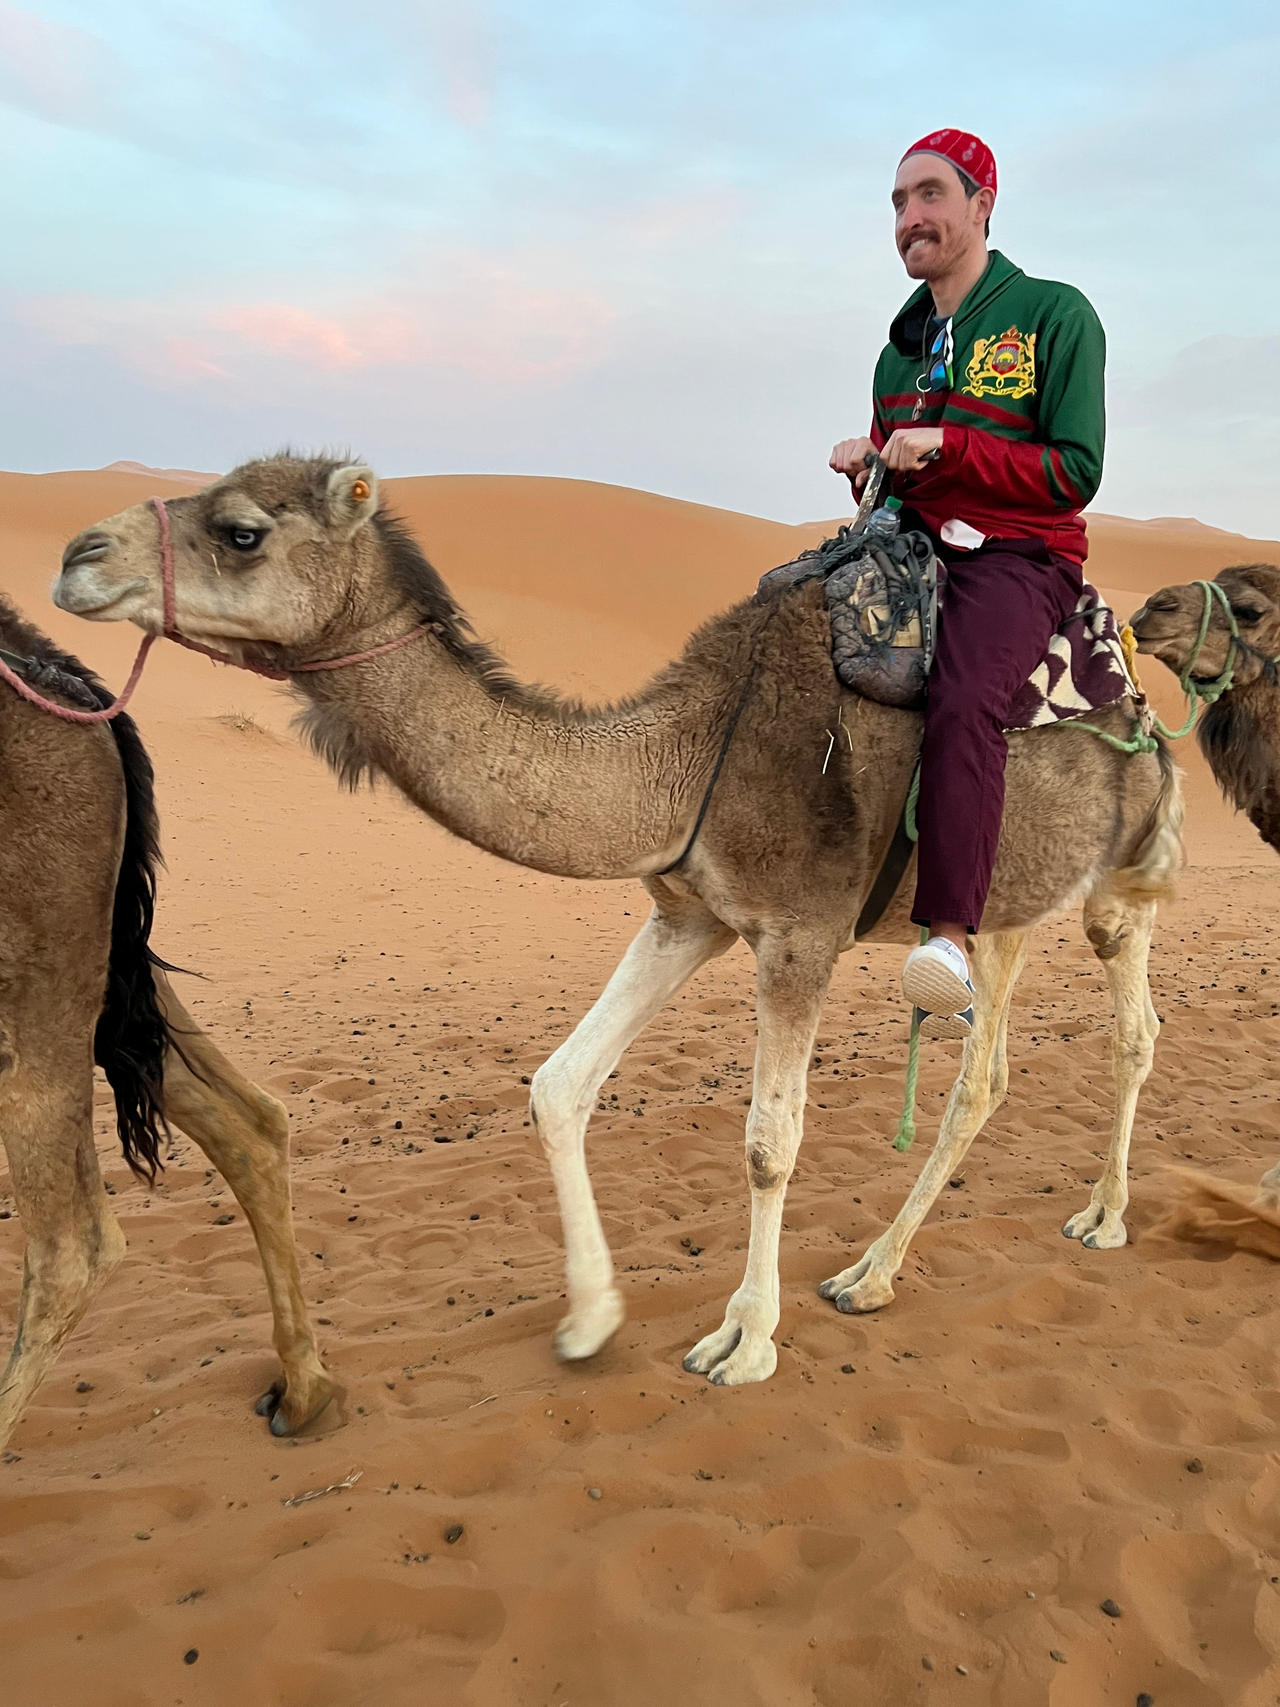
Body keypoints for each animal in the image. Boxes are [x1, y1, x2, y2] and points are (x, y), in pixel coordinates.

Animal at [53, 456, 1184, 1387]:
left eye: (242, 530)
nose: (76, 556)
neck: (690, 751)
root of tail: (1137, 687)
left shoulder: (799, 934)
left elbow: (770, 1140)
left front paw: (744, 1340)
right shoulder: (690, 913)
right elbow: (560, 1084)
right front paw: (592, 1317)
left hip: (1121, 882)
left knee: (1123, 1035)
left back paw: (1092, 1221)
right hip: (1004, 909)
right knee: (991, 1075)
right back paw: (876, 1270)